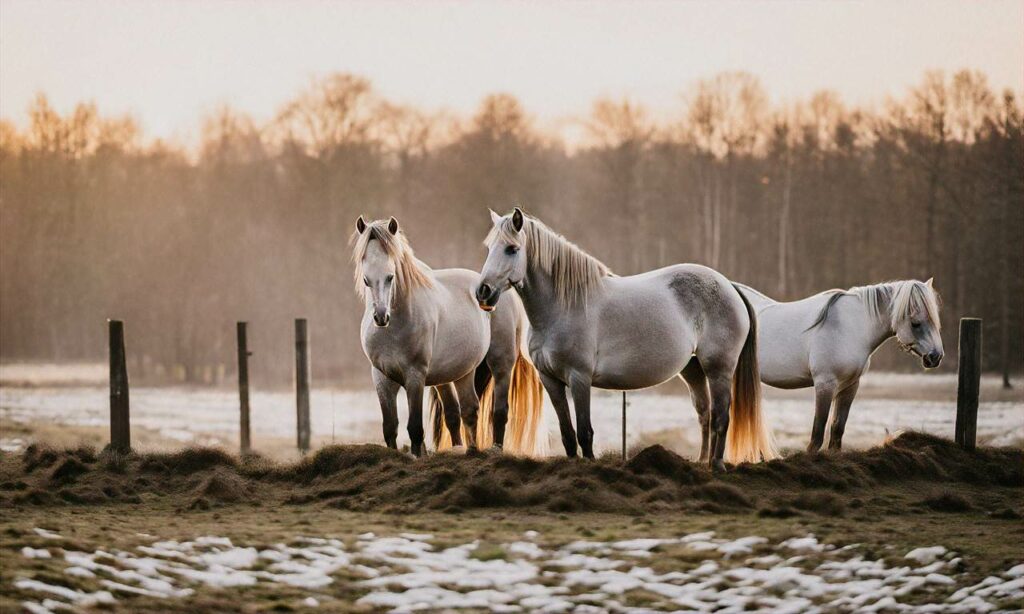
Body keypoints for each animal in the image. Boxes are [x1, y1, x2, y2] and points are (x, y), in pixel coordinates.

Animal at [352, 215, 544, 456]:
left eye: (390, 277)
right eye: (366, 280)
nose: (380, 317)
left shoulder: (415, 377)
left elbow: (415, 429)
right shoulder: (381, 378)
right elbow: (390, 428)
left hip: (501, 364)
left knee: (498, 411)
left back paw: (495, 450)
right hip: (459, 373)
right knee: (464, 412)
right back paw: (467, 450)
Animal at [475, 206, 770, 470]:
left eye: (512, 249)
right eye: (488, 248)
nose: (483, 292)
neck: (564, 306)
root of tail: (729, 286)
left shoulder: (579, 378)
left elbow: (585, 432)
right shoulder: (550, 380)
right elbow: (568, 434)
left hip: (719, 369)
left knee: (722, 416)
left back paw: (717, 466)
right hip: (693, 369)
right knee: (705, 414)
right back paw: (701, 462)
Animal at [737, 278, 942, 450]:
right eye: (916, 323)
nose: (936, 356)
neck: (849, 327)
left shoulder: (850, 386)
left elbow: (837, 431)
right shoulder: (825, 384)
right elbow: (817, 434)